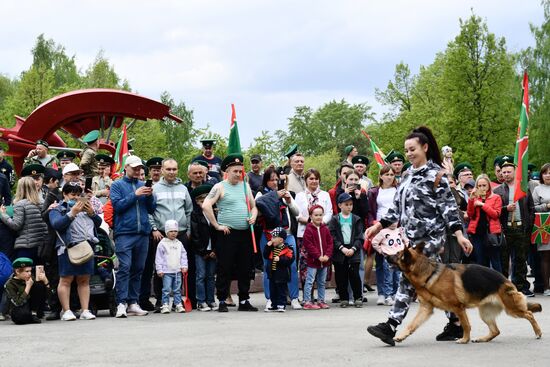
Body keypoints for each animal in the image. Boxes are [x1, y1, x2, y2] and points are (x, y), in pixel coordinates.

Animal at [392, 244, 544, 344]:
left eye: (397, 255)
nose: (387, 254)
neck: (427, 273)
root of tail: (507, 280)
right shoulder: (426, 309)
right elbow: (412, 324)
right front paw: (401, 336)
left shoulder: (458, 307)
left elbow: (465, 325)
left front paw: (464, 339)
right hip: (485, 313)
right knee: (496, 331)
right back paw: (483, 339)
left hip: (511, 309)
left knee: (529, 314)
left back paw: (538, 333)